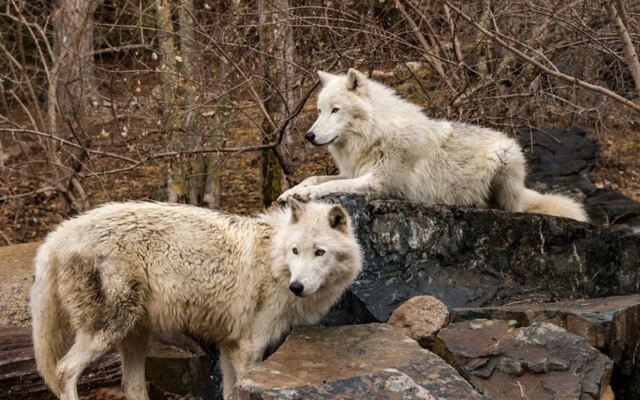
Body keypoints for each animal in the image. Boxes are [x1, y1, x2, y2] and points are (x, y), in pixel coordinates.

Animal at [30, 199, 361, 400]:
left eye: (319, 252)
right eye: (295, 251)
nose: (297, 286)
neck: (274, 260)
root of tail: (58, 235)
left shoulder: (228, 346)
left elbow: (229, 391)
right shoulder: (249, 348)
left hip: (135, 335)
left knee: (131, 386)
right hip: (107, 331)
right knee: (64, 371)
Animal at [278, 68, 588, 222]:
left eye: (336, 110)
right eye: (319, 111)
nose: (309, 136)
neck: (375, 133)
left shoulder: (377, 182)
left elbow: (330, 185)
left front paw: (308, 194)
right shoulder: (351, 171)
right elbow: (313, 177)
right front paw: (291, 192)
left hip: (503, 158)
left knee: (512, 209)